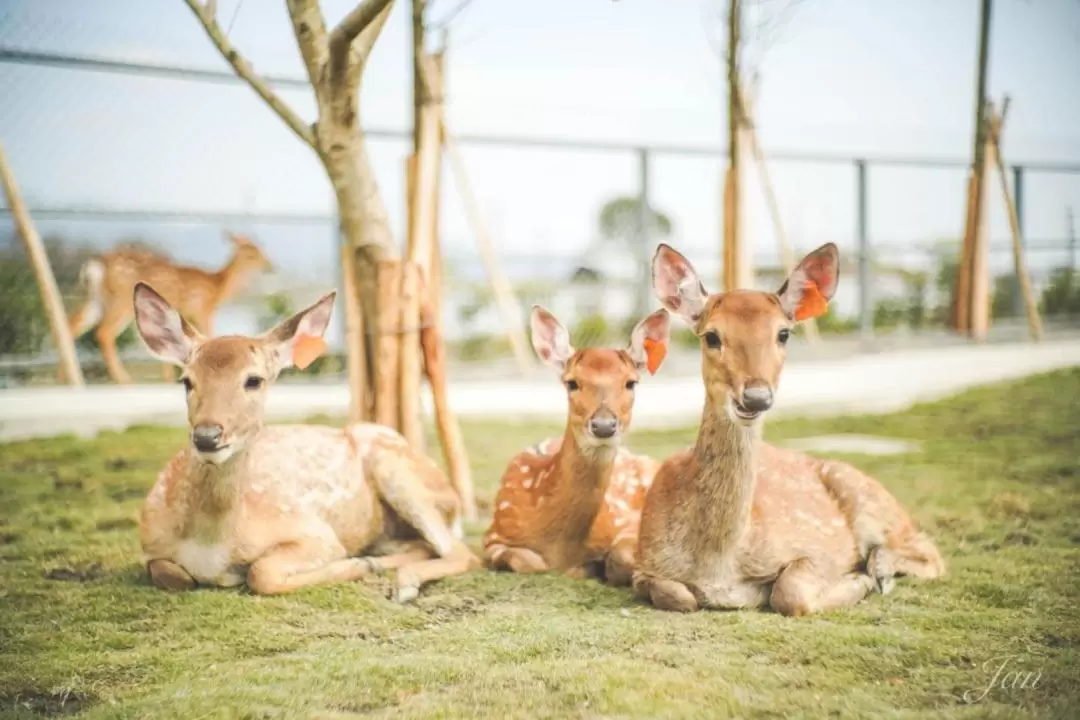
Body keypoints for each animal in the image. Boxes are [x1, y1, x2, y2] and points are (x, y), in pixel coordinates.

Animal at [68, 234, 274, 386]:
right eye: (253, 251)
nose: (269, 266)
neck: (217, 287)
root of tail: (95, 265)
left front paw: (169, 378)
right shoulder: (201, 311)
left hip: (96, 299)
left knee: (73, 325)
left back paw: (72, 380)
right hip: (122, 298)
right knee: (104, 332)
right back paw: (123, 380)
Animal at [132, 280, 479, 604]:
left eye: (254, 380)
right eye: (186, 381)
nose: (207, 436)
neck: (211, 546)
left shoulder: (314, 532)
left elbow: (262, 572)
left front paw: (356, 565)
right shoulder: (149, 545)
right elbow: (171, 574)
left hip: (398, 470)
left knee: (462, 552)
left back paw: (400, 581)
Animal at [486, 304, 669, 587]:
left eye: (631, 382)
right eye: (571, 382)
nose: (604, 425)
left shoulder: (629, 520)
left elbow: (621, 553)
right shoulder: (493, 535)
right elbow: (527, 561)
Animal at [630, 245, 946, 617]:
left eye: (783, 333)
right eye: (711, 336)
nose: (756, 397)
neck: (718, 564)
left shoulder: (817, 548)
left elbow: (789, 590)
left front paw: (859, 581)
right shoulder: (643, 563)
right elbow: (679, 595)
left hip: (870, 499)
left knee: (931, 554)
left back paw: (879, 569)